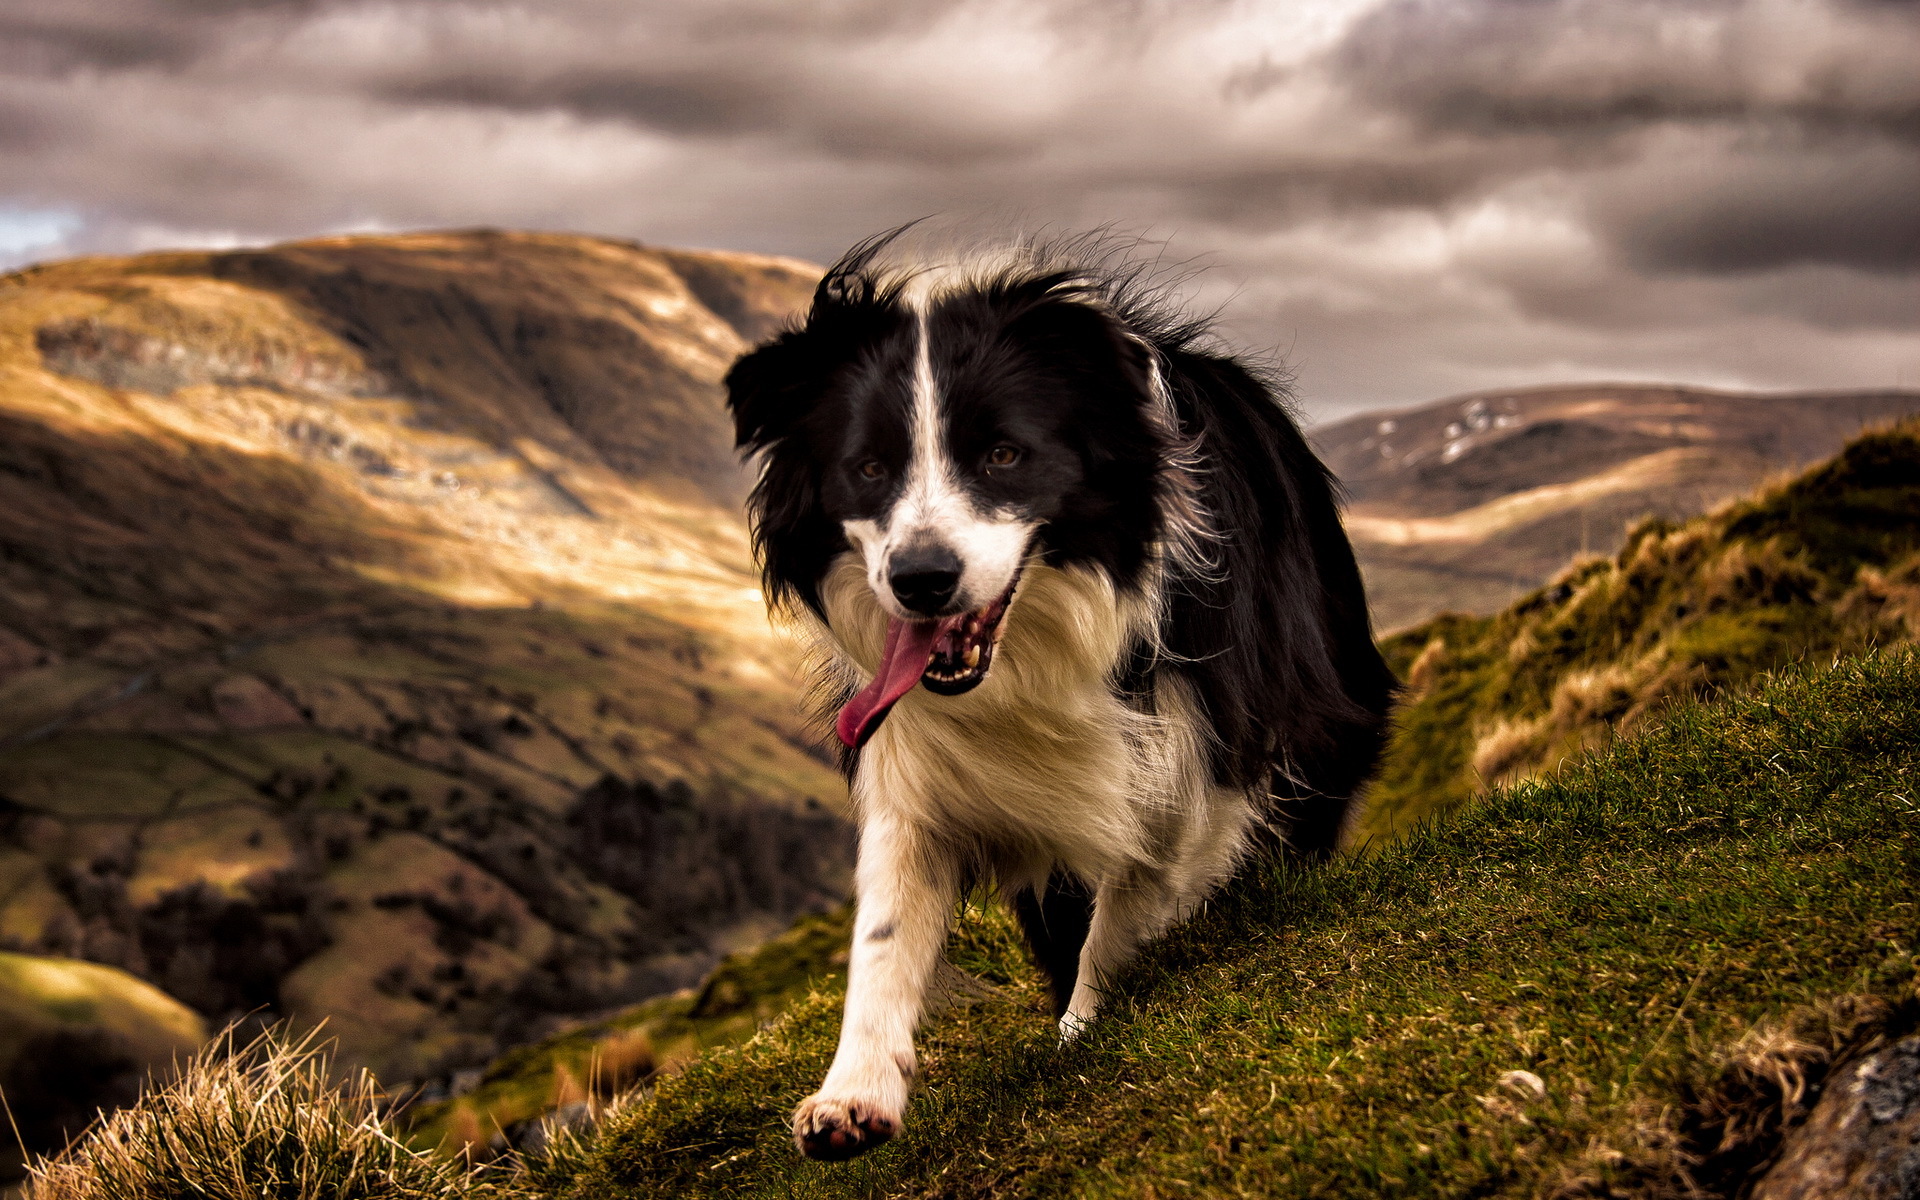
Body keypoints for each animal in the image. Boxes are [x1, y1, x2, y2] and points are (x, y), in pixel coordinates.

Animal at [721, 229, 1397, 1159]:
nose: (920, 581)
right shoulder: (918, 756)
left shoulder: (1203, 744)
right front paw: (852, 1096)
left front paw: (1082, 1025)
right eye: (868, 469)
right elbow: (886, 925)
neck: (1033, 656)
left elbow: (1136, 889)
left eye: (1003, 455)